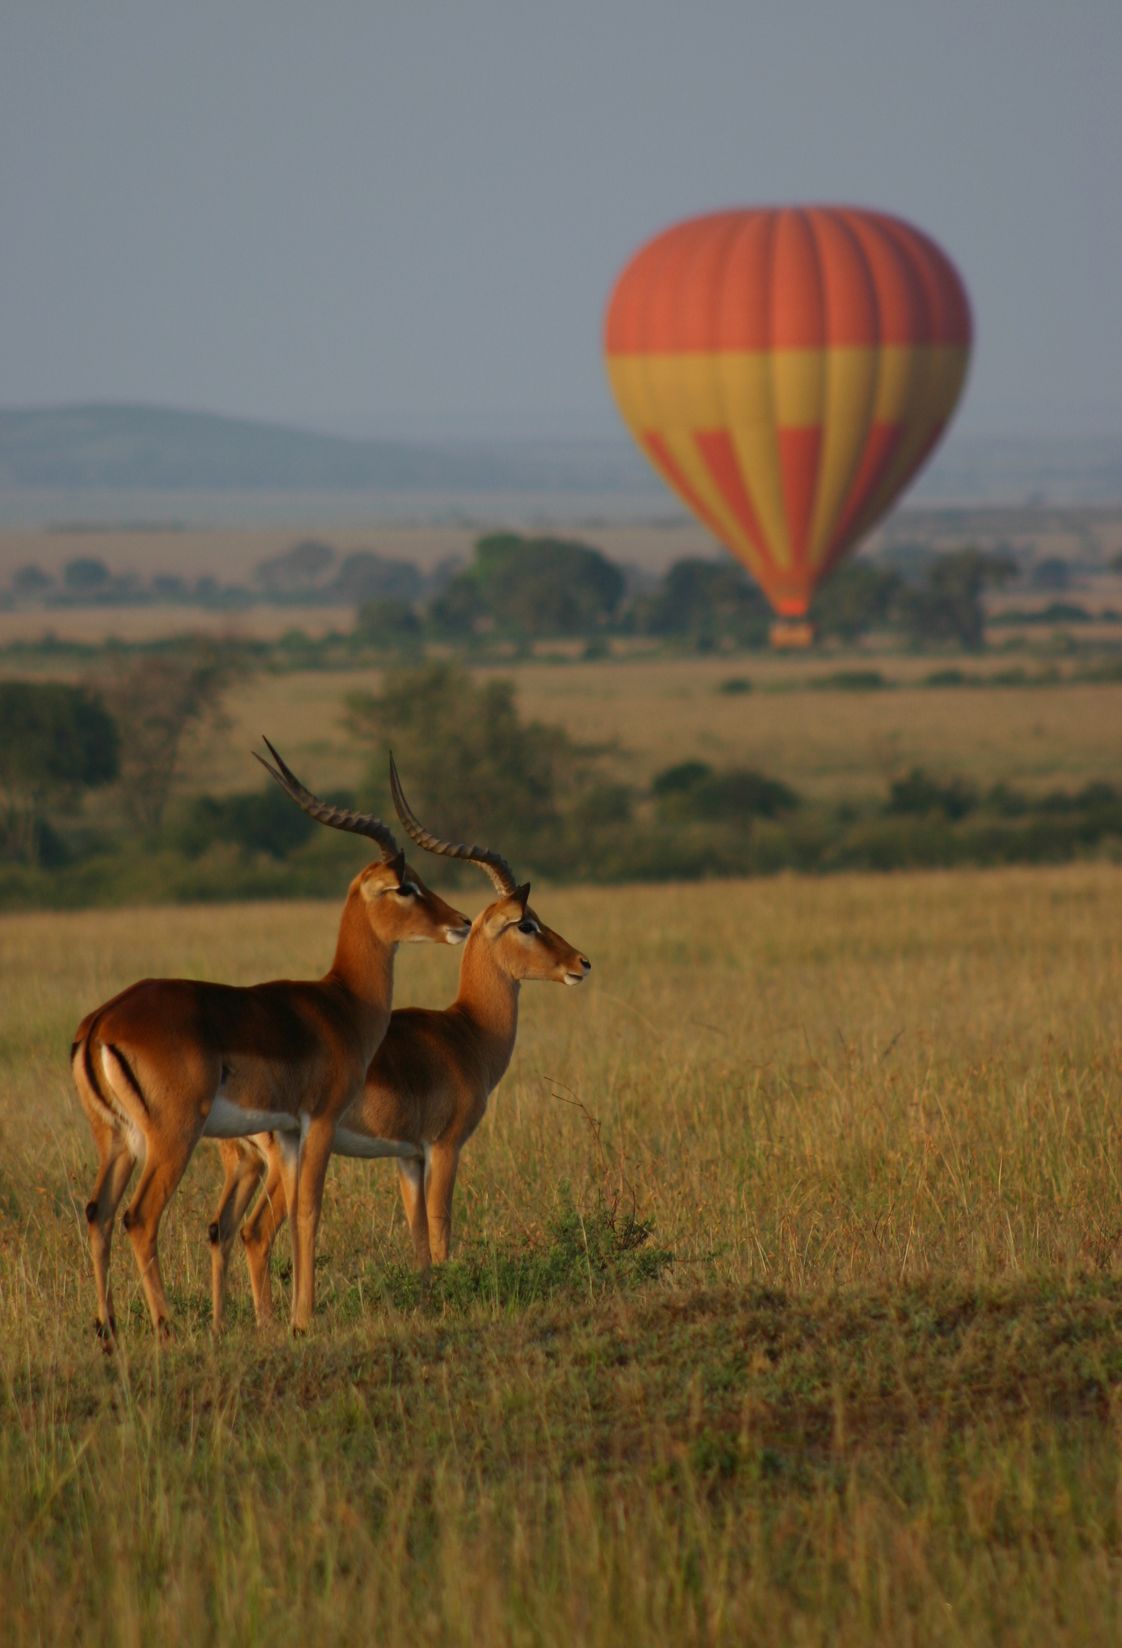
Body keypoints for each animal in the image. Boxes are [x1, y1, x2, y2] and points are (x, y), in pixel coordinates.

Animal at [68, 738, 471, 1338]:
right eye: (405, 886)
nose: (460, 922)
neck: (343, 1002)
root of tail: (102, 1020)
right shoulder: (320, 1119)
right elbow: (308, 1210)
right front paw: (302, 1321)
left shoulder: (284, 1132)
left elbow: (281, 1220)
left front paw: (284, 1319)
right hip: (172, 1135)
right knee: (139, 1218)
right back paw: (166, 1327)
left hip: (116, 1139)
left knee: (98, 1213)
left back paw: (109, 1332)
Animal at [212, 758, 596, 1324]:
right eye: (527, 923)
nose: (581, 963)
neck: (467, 1033)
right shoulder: (444, 1147)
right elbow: (440, 1232)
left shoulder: (407, 1157)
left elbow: (418, 1242)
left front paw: (429, 1300)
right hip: (282, 1159)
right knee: (256, 1234)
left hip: (249, 1162)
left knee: (222, 1232)